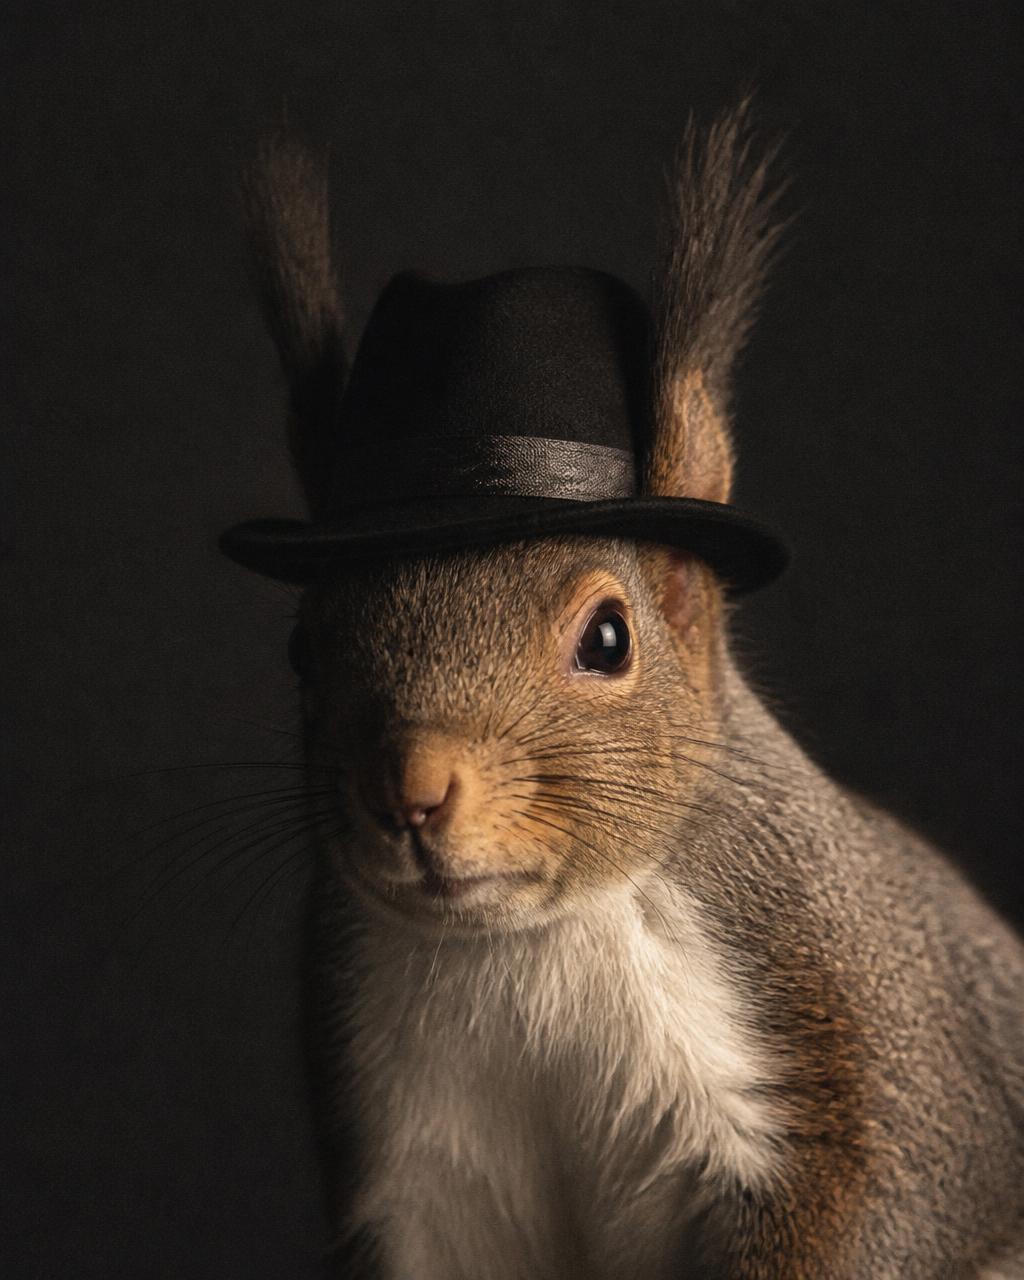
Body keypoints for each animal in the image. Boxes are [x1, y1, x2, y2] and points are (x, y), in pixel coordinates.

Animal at [225, 108, 1024, 1278]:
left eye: (608, 638)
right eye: (302, 650)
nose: (409, 789)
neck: (532, 941)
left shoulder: (861, 1034)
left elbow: (890, 1197)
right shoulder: (416, 1172)